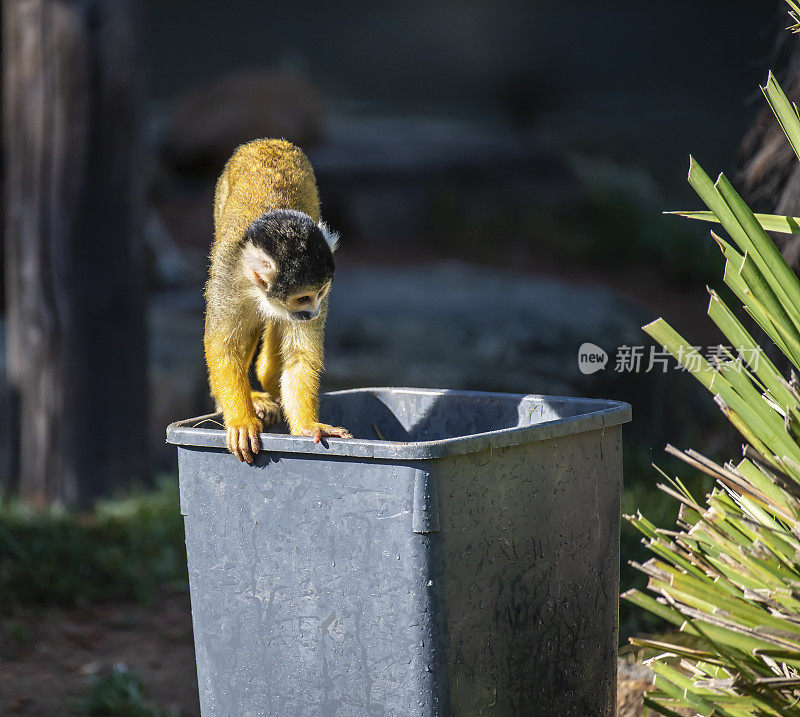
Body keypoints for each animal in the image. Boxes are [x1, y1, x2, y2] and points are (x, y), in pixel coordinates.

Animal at [203, 138, 350, 464]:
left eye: (320, 293)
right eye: (302, 298)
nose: (312, 313)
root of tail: (265, 141)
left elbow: (300, 355)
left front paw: (307, 425)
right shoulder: (228, 281)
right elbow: (224, 347)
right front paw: (241, 421)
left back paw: (267, 378)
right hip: (220, 193)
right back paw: (250, 397)